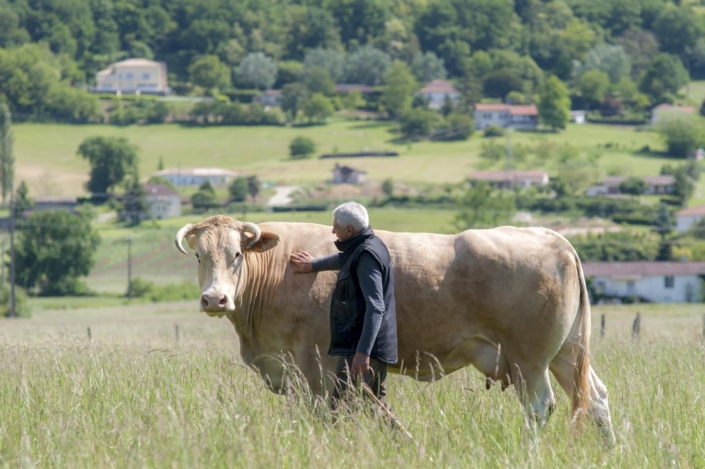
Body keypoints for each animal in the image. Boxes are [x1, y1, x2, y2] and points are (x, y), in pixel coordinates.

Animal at [173, 216, 612, 442]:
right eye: (198, 256)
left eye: (236, 254)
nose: (215, 299)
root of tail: (552, 237)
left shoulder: (316, 365)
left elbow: (324, 412)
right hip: (567, 353)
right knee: (596, 400)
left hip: (530, 360)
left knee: (540, 406)